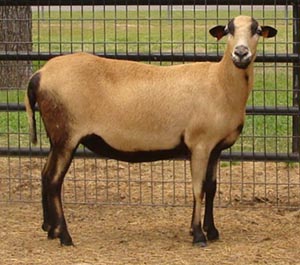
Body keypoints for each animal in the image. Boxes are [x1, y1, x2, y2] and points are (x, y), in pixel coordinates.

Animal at [24, 14, 276, 245]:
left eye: (257, 30)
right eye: (227, 30)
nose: (241, 53)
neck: (220, 83)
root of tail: (39, 75)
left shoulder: (215, 148)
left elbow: (211, 188)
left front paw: (212, 231)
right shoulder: (199, 144)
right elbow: (198, 189)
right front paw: (198, 235)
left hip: (56, 137)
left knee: (45, 175)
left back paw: (50, 229)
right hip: (66, 134)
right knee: (54, 181)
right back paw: (65, 236)